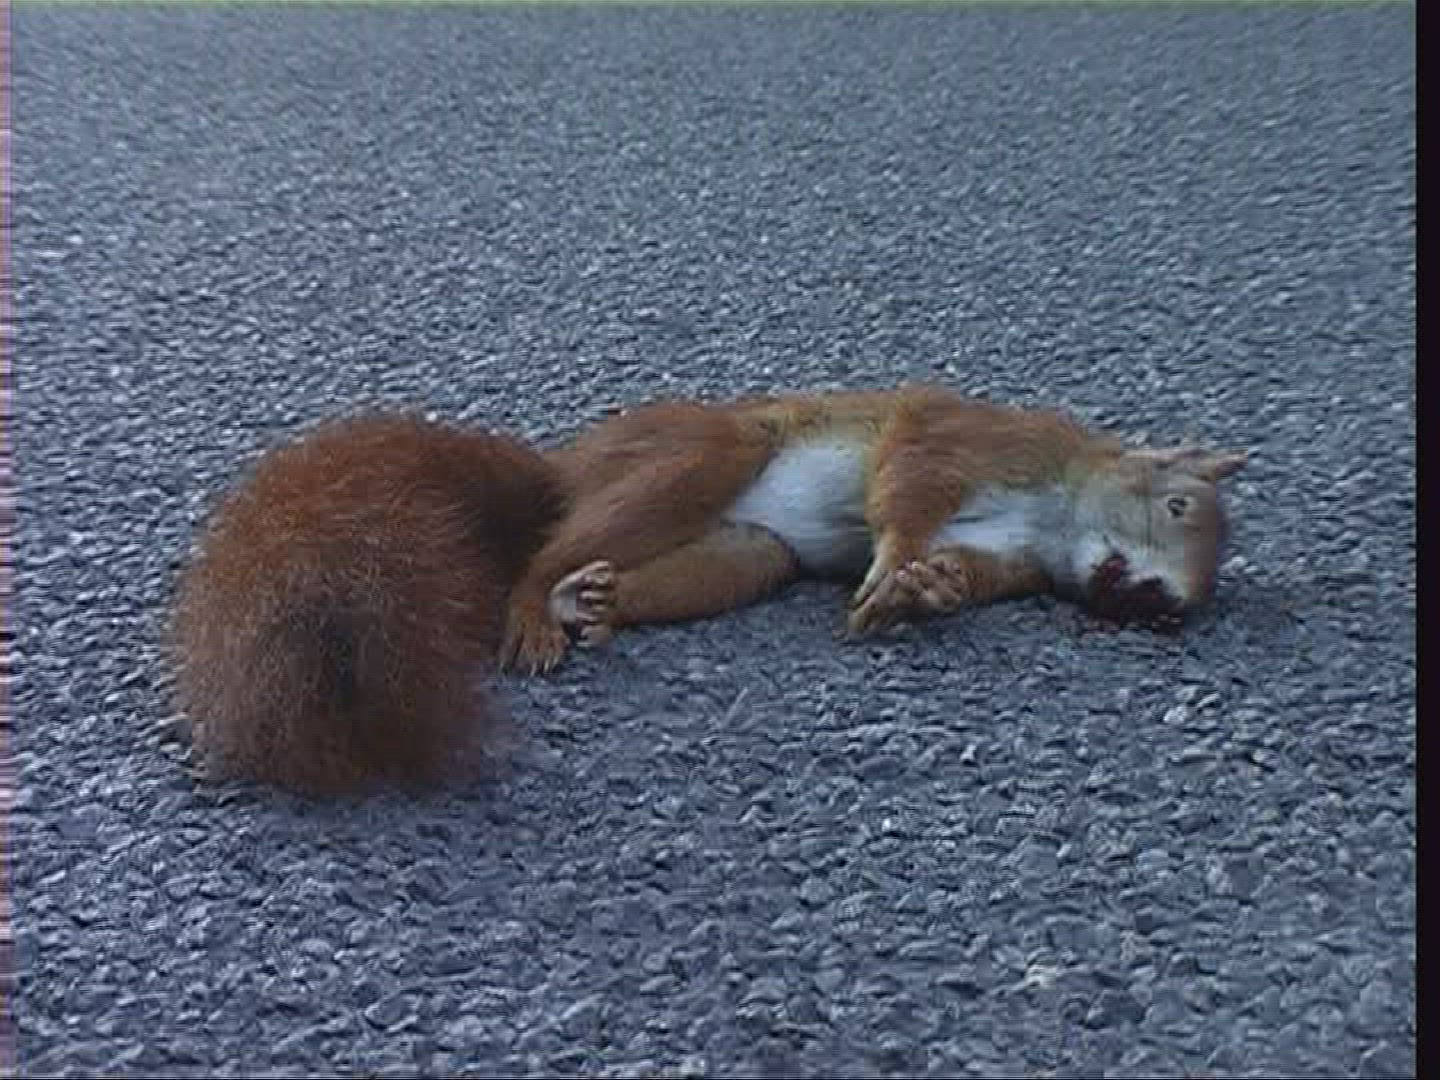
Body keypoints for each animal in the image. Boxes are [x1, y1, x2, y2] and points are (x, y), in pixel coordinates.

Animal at [500, 384, 1248, 673]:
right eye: (1179, 507)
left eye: (1183, 612)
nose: (1161, 601)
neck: (1054, 520)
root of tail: (569, 461)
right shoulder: (976, 439)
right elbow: (912, 477)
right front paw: (897, 565)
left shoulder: (1014, 559)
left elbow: (966, 571)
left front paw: (931, 589)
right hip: (707, 452)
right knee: (544, 552)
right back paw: (535, 606)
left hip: (750, 551)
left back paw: (596, 603)